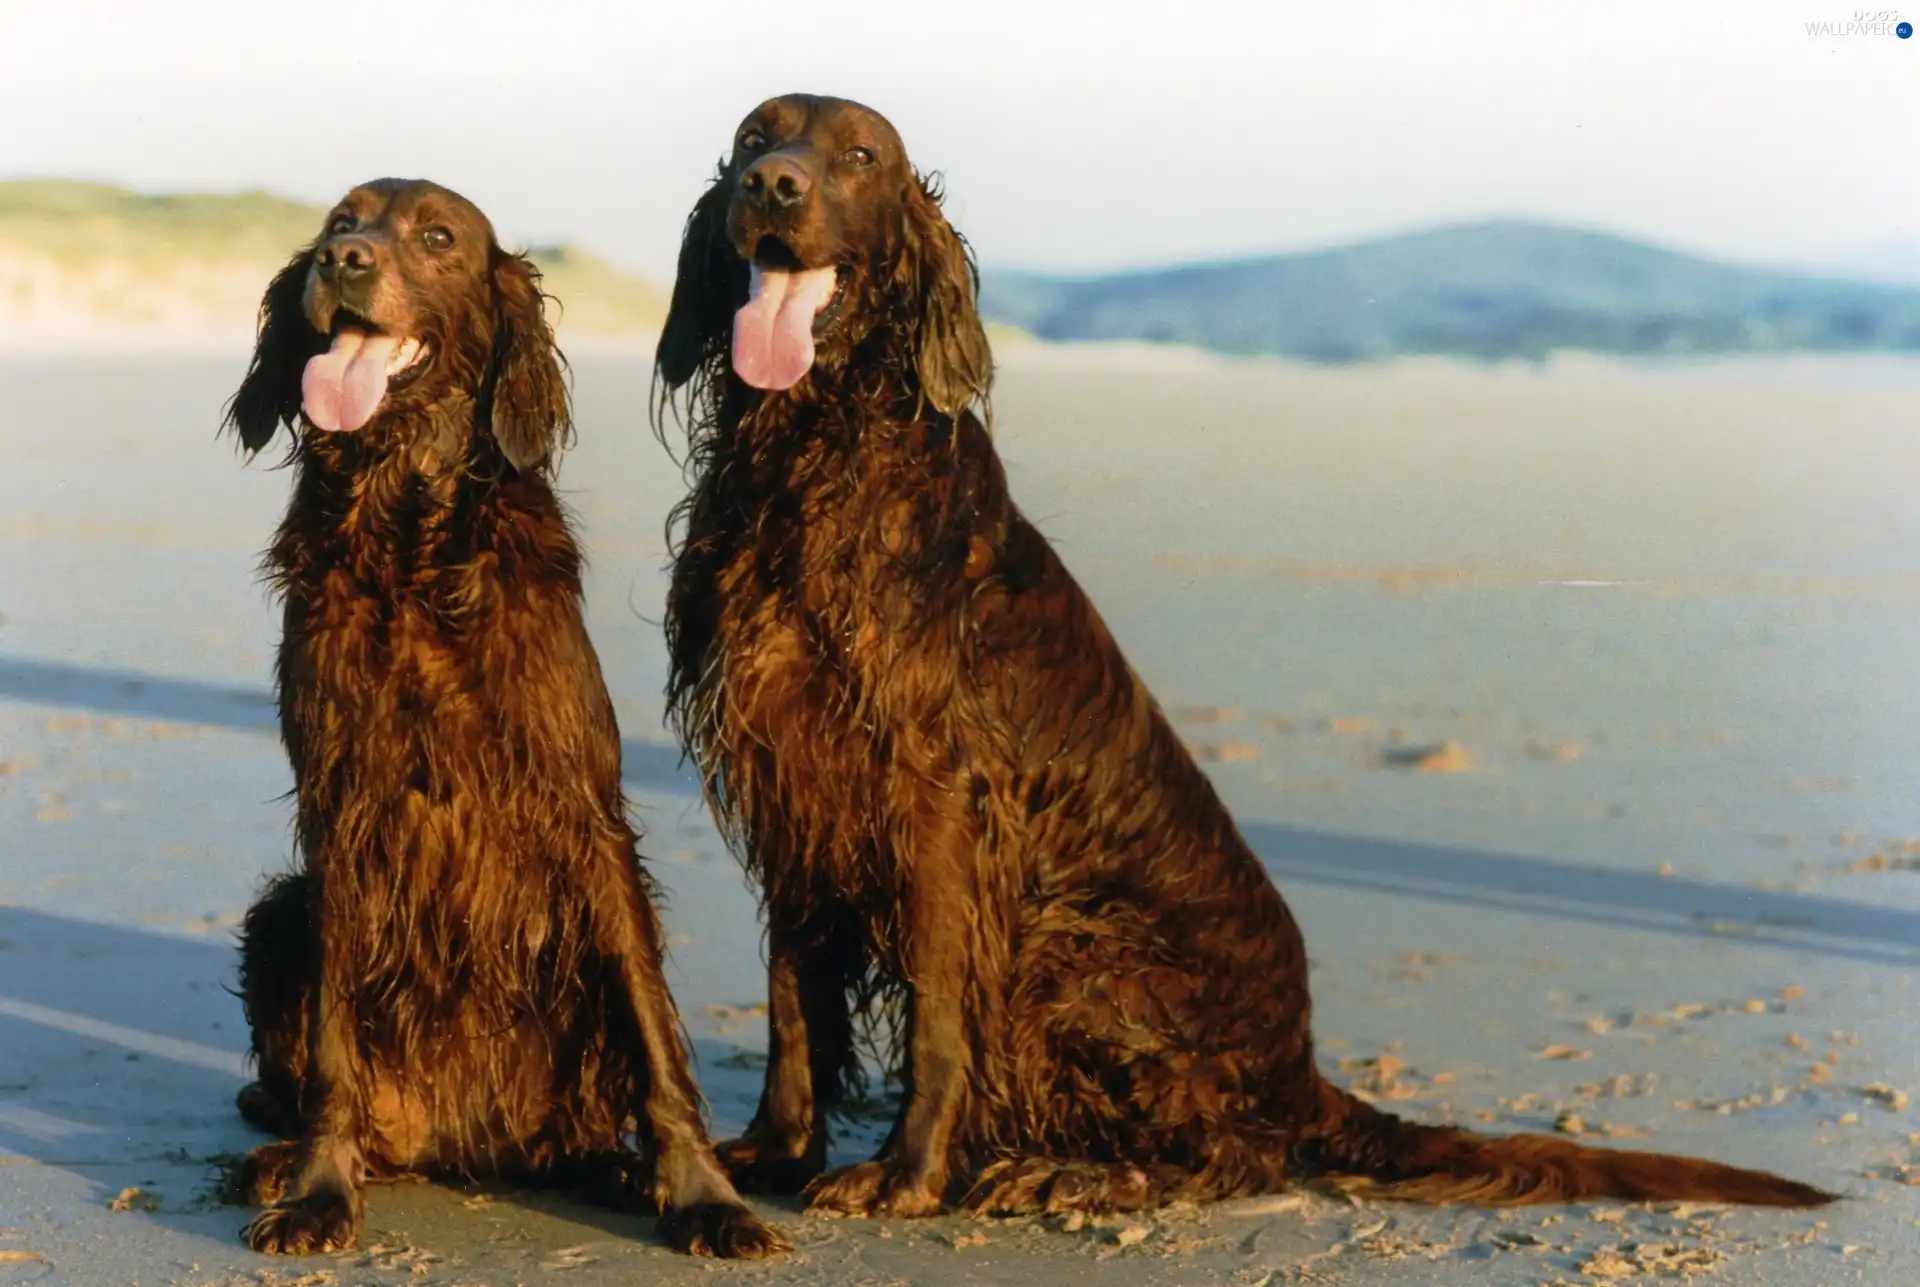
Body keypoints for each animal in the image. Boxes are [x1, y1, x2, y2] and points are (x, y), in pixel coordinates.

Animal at [222, 178, 787, 1260]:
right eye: (339, 220)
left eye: (439, 237)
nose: (343, 261)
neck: (408, 534)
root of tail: (459, 1144)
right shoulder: (340, 814)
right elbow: (331, 1044)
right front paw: (318, 1190)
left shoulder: (584, 812)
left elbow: (660, 1047)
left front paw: (706, 1198)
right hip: (280, 912)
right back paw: (281, 1159)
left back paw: (620, 1167)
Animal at [652, 96, 1835, 1221]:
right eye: (754, 136)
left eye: (859, 156)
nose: (772, 185)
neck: (814, 454)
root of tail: (1299, 1066)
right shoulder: (794, 778)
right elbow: (793, 997)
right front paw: (772, 1150)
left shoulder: (935, 802)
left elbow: (942, 1013)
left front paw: (905, 1173)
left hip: (1075, 944)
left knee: (1235, 1152)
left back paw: (1071, 1177)